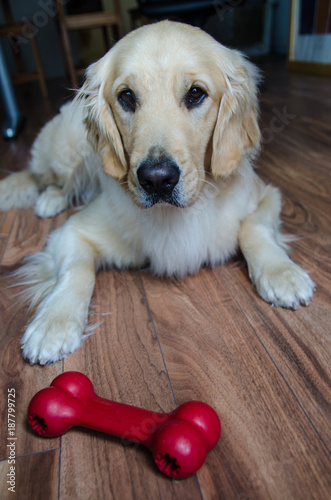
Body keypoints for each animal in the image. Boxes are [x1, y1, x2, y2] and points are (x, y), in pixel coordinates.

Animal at [0, 21, 316, 364]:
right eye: (126, 97)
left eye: (195, 94)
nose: (157, 179)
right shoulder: (73, 232)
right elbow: (76, 271)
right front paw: (54, 322)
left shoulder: (267, 194)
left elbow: (254, 227)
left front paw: (282, 273)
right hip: (64, 153)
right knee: (41, 177)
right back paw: (49, 200)